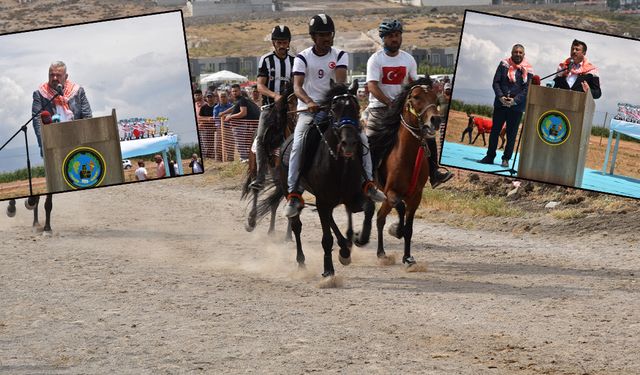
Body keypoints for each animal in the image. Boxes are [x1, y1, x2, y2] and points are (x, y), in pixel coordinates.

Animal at [356, 78, 440, 266]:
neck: (408, 155)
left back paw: (378, 250)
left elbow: (409, 228)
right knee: (376, 215)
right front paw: (396, 230)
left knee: (379, 217)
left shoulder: (416, 196)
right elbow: (400, 208)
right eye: (416, 97)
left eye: (435, 97)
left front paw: (407, 257)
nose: (435, 120)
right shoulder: (391, 192)